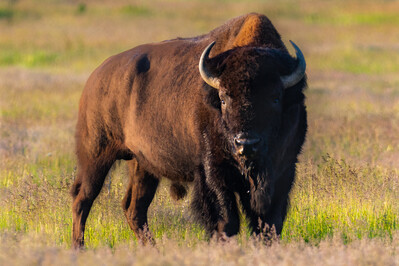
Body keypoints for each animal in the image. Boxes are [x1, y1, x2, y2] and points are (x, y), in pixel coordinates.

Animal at [72, 12, 308, 248]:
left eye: (275, 98)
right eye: (223, 98)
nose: (245, 144)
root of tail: (96, 77)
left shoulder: (283, 171)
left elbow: (270, 223)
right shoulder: (213, 172)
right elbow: (226, 220)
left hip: (142, 166)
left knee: (134, 208)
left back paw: (153, 248)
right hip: (96, 156)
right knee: (82, 199)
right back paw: (78, 247)